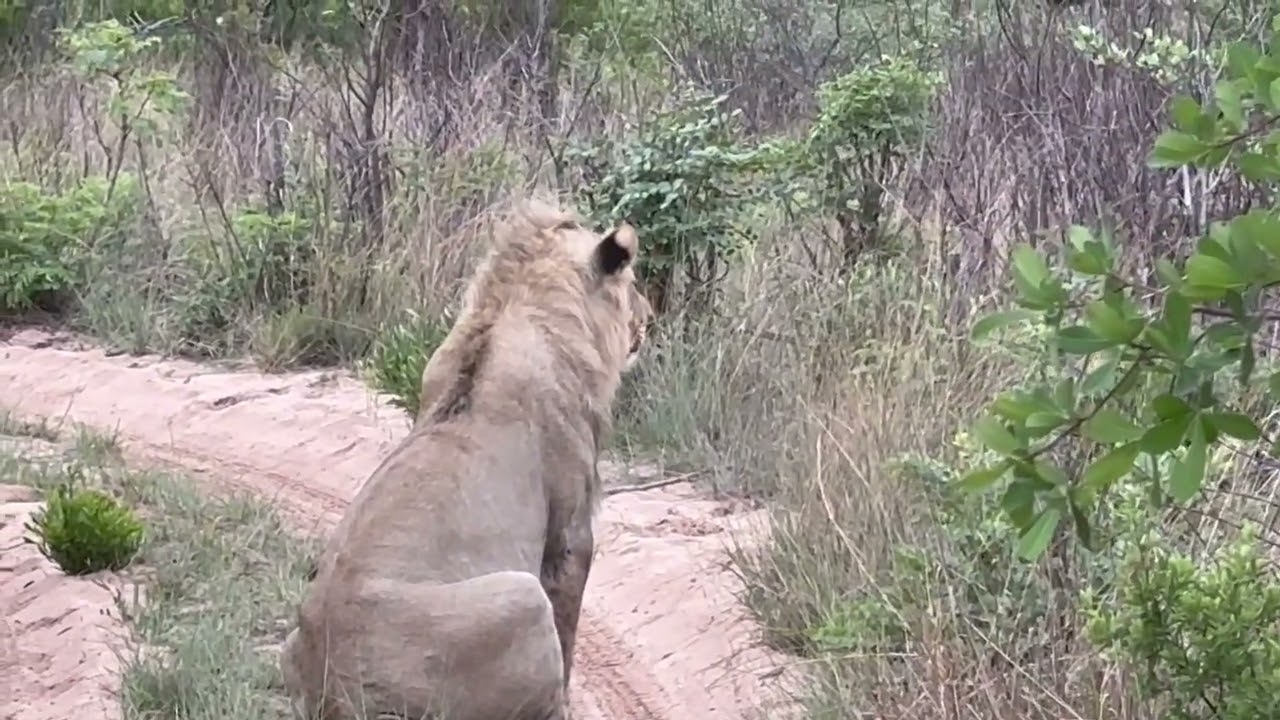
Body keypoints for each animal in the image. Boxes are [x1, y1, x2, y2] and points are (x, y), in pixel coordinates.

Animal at [280, 200, 649, 720]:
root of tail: (333, 696)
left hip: (287, 645)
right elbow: (569, 629)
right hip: (521, 597)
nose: (649, 317)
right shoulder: (570, 532)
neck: (512, 306)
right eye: (632, 283)